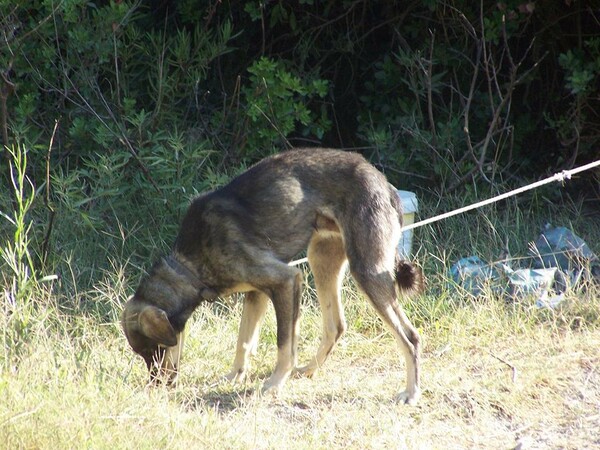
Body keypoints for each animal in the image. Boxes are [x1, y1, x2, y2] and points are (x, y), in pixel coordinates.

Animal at [120, 148, 422, 404]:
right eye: (144, 354)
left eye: (156, 350)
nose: (156, 385)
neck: (188, 267)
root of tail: (384, 183)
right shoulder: (257, 292)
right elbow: (243, 340)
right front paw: (235, 376)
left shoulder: (286, 281)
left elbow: (284, 344)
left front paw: (275, 384)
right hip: (322, 258)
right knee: (335, 326)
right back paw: (308, 370)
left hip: (367, 271)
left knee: (410, 337)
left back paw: (411, 392)